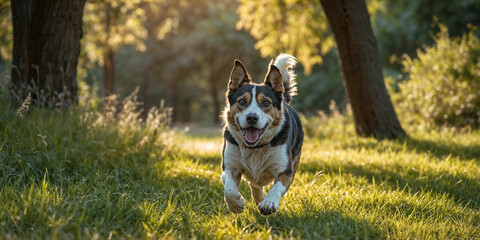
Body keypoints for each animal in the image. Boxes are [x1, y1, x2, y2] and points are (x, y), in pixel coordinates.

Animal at [221, 54, 304, 216]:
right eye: (242, 101)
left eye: (266, 103)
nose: (252, 118)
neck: (255, 148)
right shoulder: (229, 166)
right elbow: (228, 187)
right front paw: (235, 204)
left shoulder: (285, 170)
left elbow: (277, 187)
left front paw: (269, 203)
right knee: (255, 184)